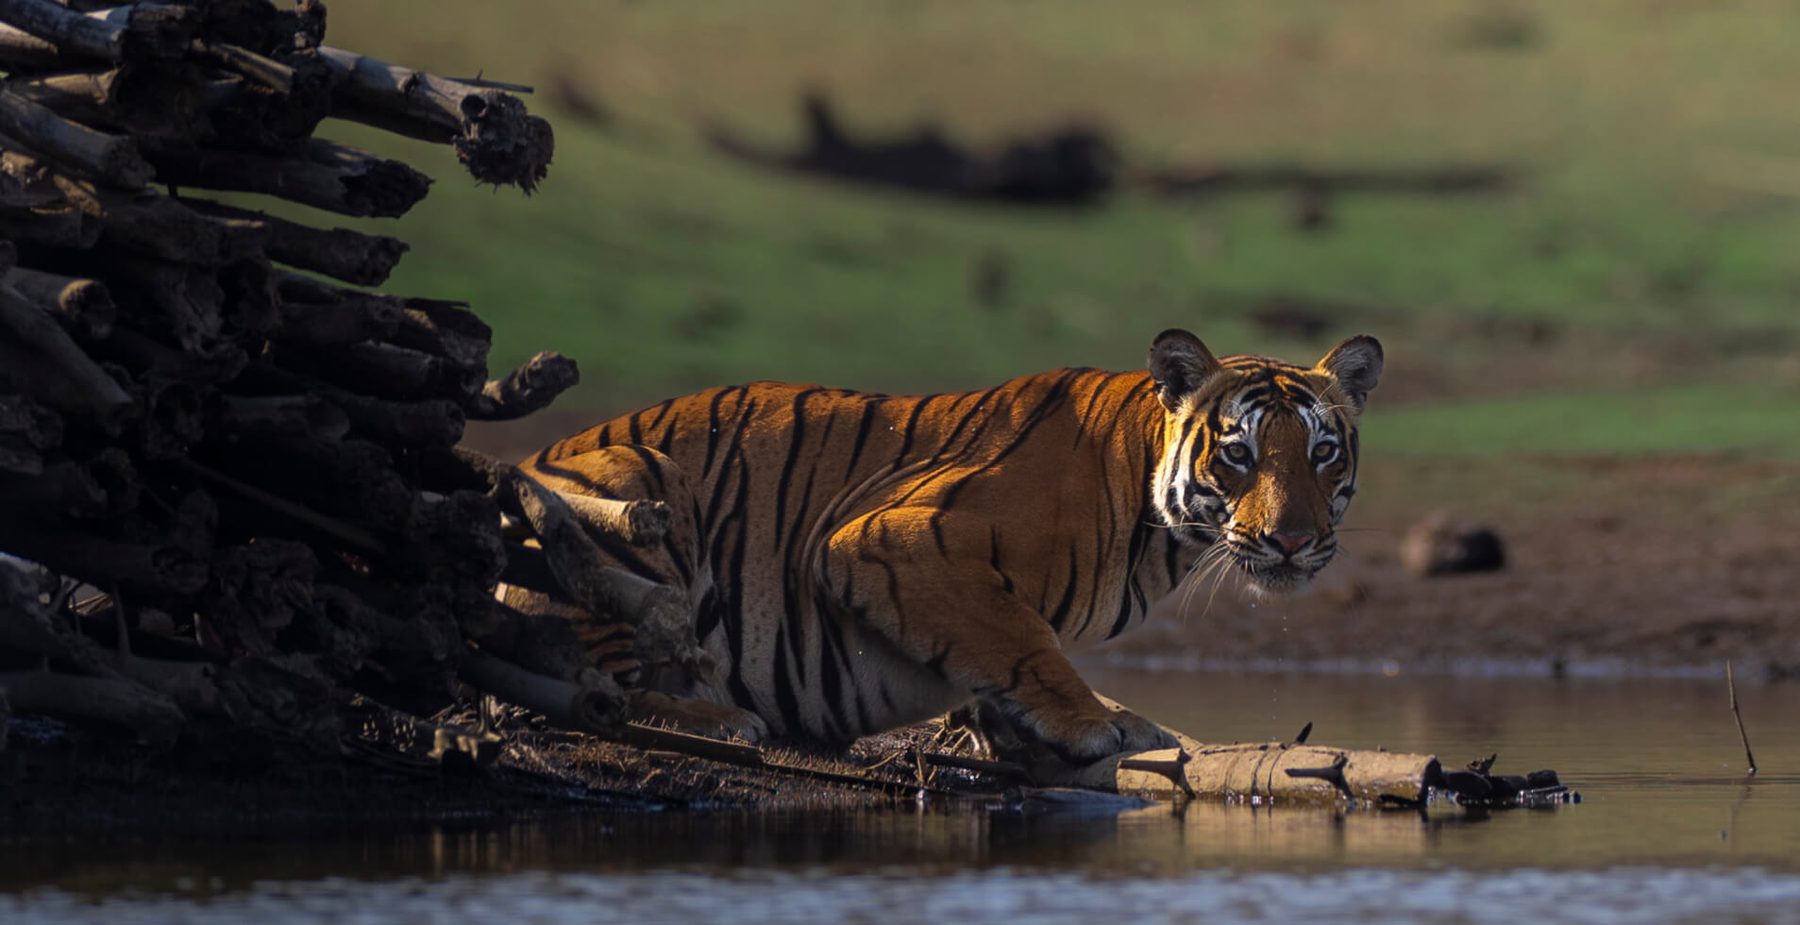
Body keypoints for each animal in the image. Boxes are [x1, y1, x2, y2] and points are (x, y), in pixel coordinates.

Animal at [512, 329, 1383, 765]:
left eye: (1322, 452)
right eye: (1239, 453)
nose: (1292, 540)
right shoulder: (886, 539)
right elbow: (1021, 638)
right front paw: (1092, 722)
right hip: (640, 487)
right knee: (577, 683)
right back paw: (720, 718)